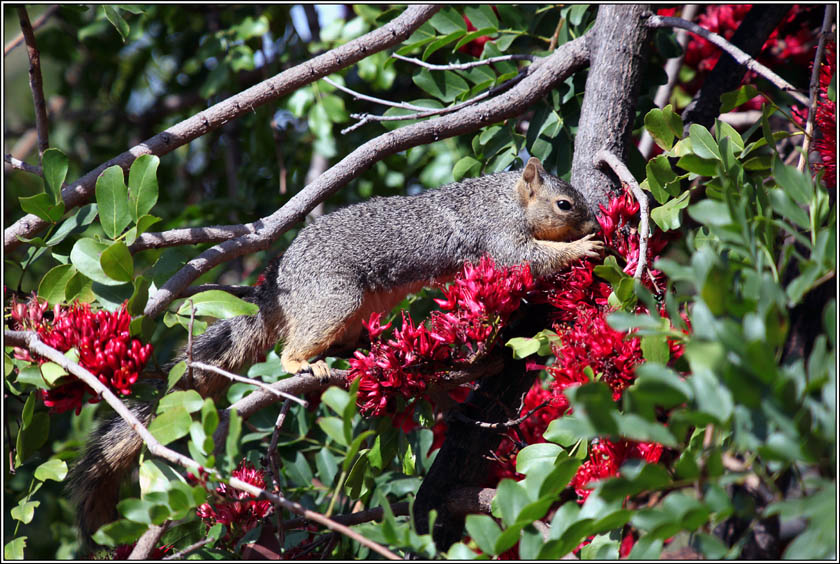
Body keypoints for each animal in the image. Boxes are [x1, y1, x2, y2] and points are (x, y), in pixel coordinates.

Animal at [69, 155, 600, 548]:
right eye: (564, 204)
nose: (595, 219)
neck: (507, 198)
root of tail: (277, 292)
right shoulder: (498, 235)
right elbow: (526, 258)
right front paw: (582, 249)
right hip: (333, 298)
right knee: (291, 346)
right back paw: (306, 361)